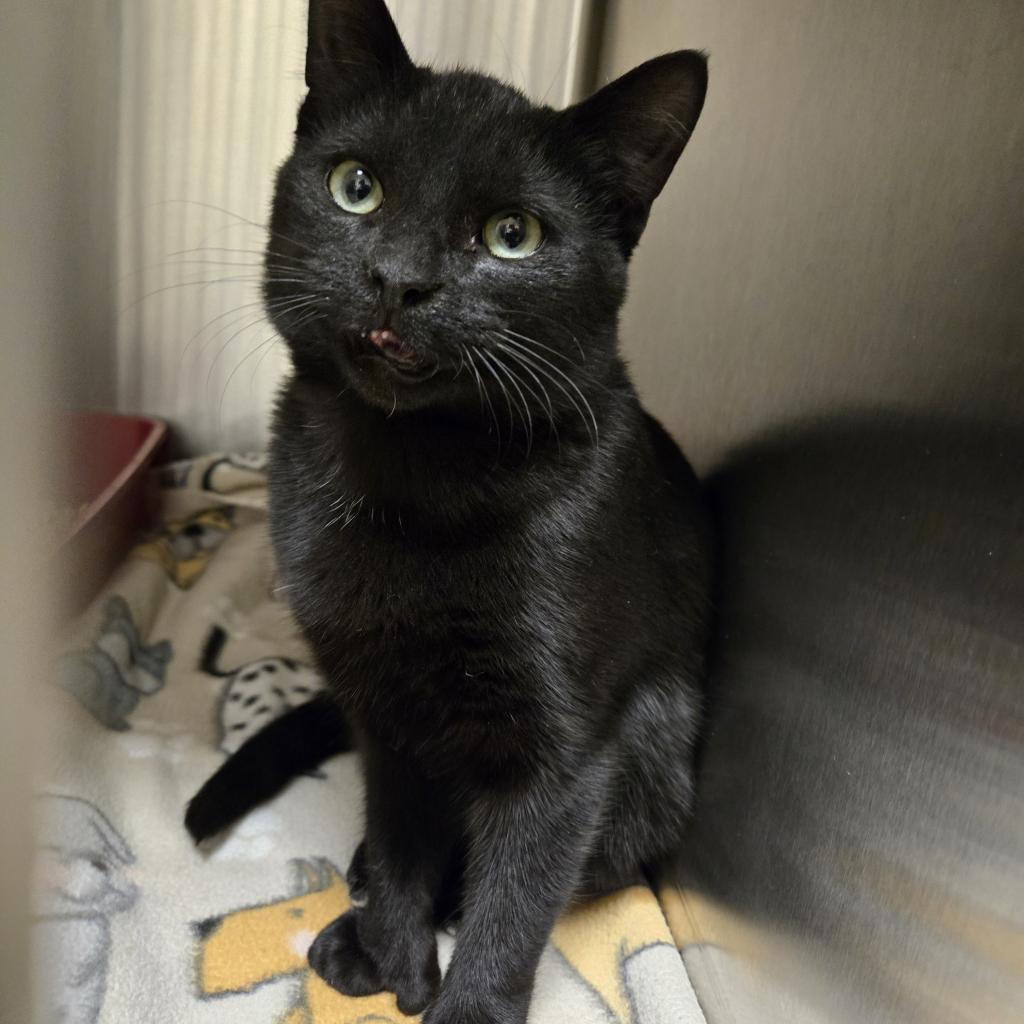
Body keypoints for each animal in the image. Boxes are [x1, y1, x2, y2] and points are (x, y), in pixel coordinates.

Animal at [186, 4, 712, 1019]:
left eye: (513, 235)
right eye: (356, 187)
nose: (399, 277)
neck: (414, 475)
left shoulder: (566, 752)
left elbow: (515, 899)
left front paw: (454, 994)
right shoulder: (385, 710)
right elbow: (401, 833)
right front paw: (389, 950)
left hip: (658, 750)